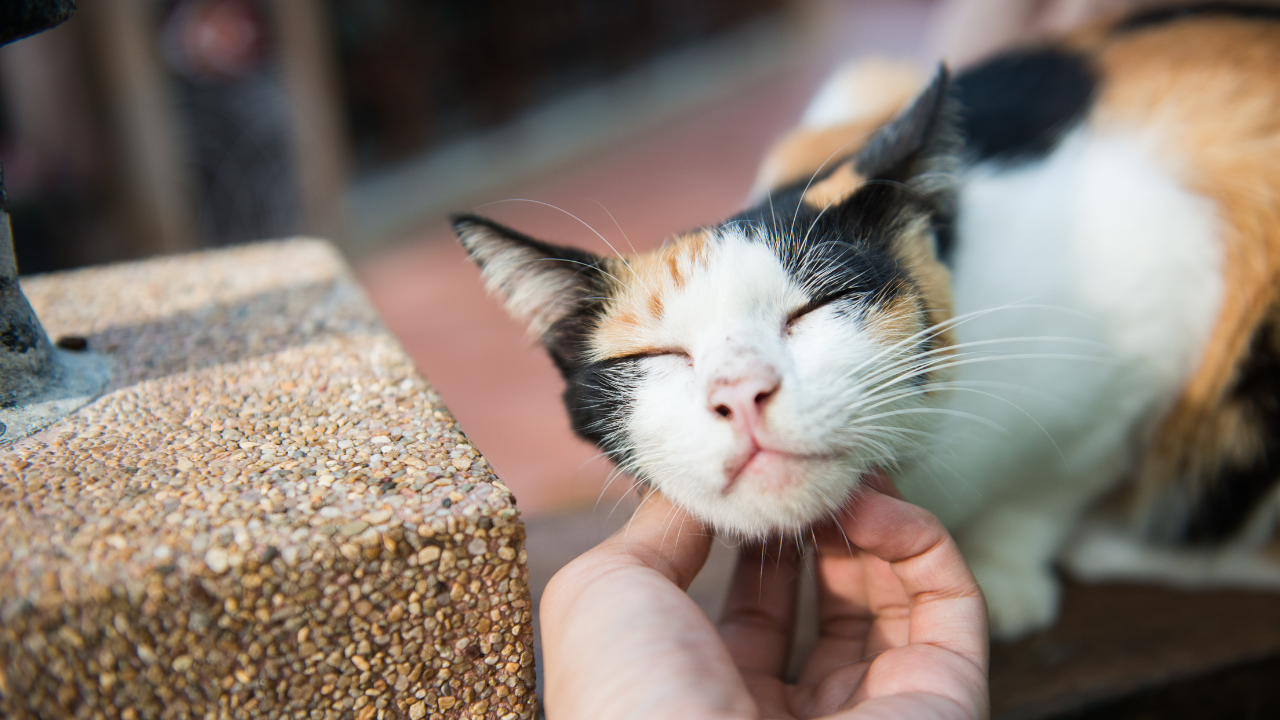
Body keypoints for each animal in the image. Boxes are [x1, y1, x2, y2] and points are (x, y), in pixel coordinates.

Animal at [455, 4, 1280, 632]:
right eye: (655, 357)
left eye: (818, 305)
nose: (742, 393)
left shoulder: (1148, 326)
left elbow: (1047, 490)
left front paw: (1005, 578)